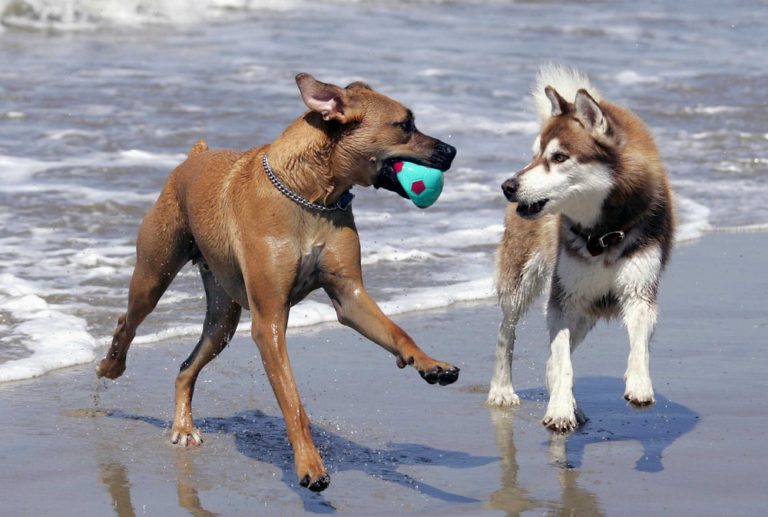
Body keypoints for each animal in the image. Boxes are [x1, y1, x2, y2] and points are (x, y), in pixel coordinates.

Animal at [94, 73, 456, 492]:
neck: (311, 195)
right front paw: (309, 465)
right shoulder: (269, 321)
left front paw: (431, 364)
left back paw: (183, 427)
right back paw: (110, 367)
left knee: (186, 368)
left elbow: (397, 332)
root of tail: (192, 158)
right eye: (405, 125)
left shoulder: (349, 296)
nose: (452, 150)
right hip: (154, 273)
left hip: (222, 320)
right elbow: (293, 402)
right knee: (129, 320)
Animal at [492, 67, 672, 432]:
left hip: (590, 306)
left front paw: (639, 383)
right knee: (506, 333)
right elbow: (562, 362)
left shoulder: (639, 291)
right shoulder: (563, 300)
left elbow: (639, 345)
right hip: (522, 279)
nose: (508, 186)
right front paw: (560, 409)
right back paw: (503, 390)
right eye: (536, 155)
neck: (603, 233)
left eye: (559, 157)